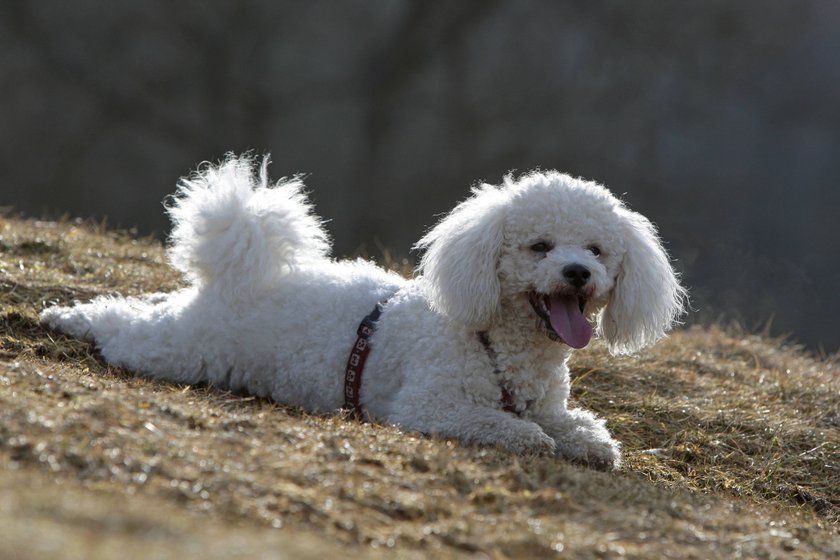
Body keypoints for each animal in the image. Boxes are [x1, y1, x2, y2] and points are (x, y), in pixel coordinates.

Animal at [39, 155, 684, 470]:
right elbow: (513, 428)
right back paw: (65, 317)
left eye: (597, 250)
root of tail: (237, 278)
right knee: (123, 329)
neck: (497, 343)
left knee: (148, 306)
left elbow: (580, 428)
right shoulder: (431, 406)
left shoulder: (550, 403)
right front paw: (532, 439)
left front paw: (589, 444)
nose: (578, 274)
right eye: (540, 246)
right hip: (184, 350)